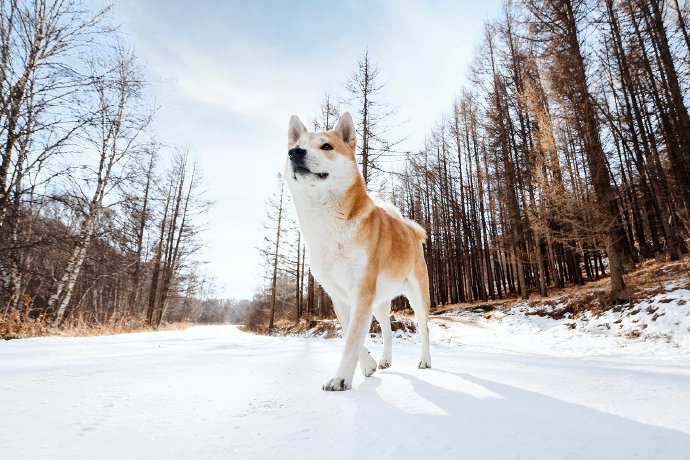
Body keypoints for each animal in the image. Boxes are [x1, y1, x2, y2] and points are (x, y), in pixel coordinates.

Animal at [282, 112, 428, 392]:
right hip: (380, 302)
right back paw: (385, 360)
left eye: (327, 146)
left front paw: (340, 378)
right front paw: (368, 365)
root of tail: (410, 230)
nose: (295, 152)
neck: (326, 222)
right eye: (296, 146)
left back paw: (425, 361)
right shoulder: (339, 296)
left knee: (425, 329)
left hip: (417, 296)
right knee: (387, 329)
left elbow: (351, 339)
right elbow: (351, 333)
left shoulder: (361, 291)